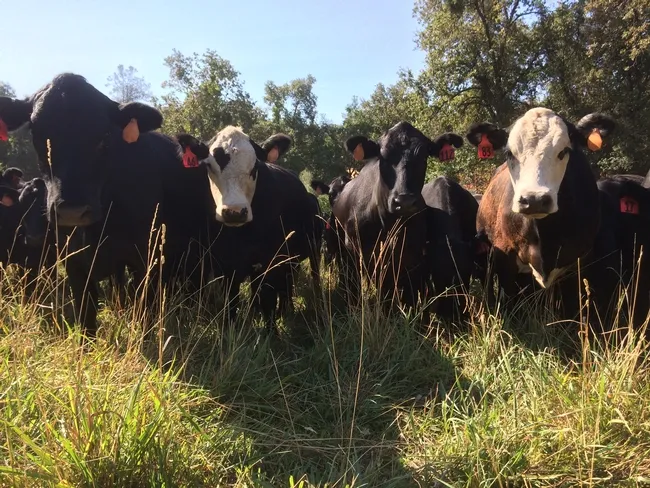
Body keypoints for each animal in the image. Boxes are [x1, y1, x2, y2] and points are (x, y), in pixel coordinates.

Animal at [331, 121, 464, 311]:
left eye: (424, 157)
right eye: (384, 158)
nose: (404, 201)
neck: (388, 223)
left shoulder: (412, 256)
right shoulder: (357, 251)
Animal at [467, 107, 619, 328]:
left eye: (564, 151)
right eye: (509, 153)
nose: (534, 199)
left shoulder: (579, 261)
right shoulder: (504, 257)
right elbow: (509, 304)